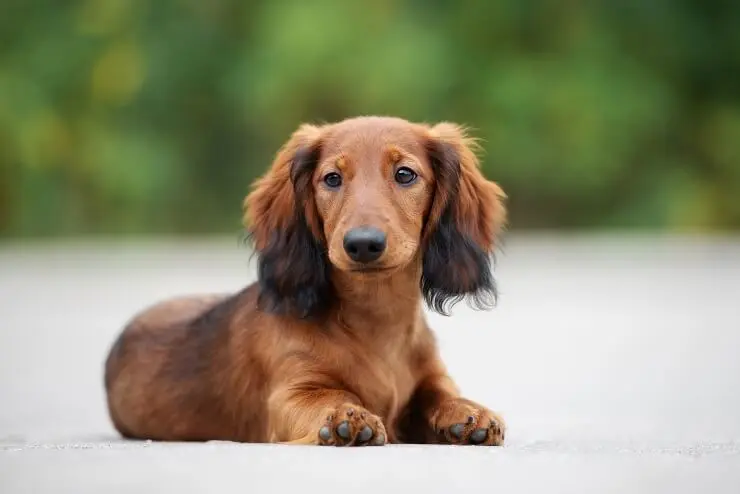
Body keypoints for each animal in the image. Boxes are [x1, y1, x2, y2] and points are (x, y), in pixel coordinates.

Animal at [104, 116, 508, 448]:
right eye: (332, 178)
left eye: (405, 174)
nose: (363, 244)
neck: (376, 320)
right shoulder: (289, 395)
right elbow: (327, 397)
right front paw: (346, 416)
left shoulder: (432, 378)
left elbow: (442, 394)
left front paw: (469, 412)